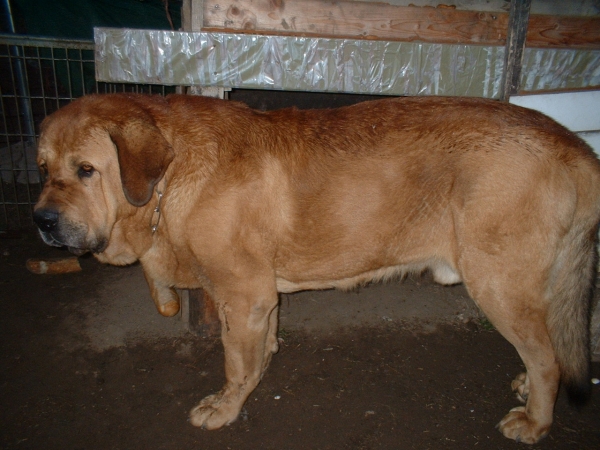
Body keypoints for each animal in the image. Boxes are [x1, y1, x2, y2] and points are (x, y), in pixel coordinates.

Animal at [34, 94, 600, 442]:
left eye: (86, 170)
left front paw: (225, 407)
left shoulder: (243, 294)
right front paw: (261, 367)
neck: (168, 179)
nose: (42, 220)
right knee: (546, 347)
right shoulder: (262, 299)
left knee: (547, 358)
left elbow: (233, 363)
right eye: (43, 168)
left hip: (498, 284)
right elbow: (258, 349)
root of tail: (570, 141)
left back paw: (535, 421)